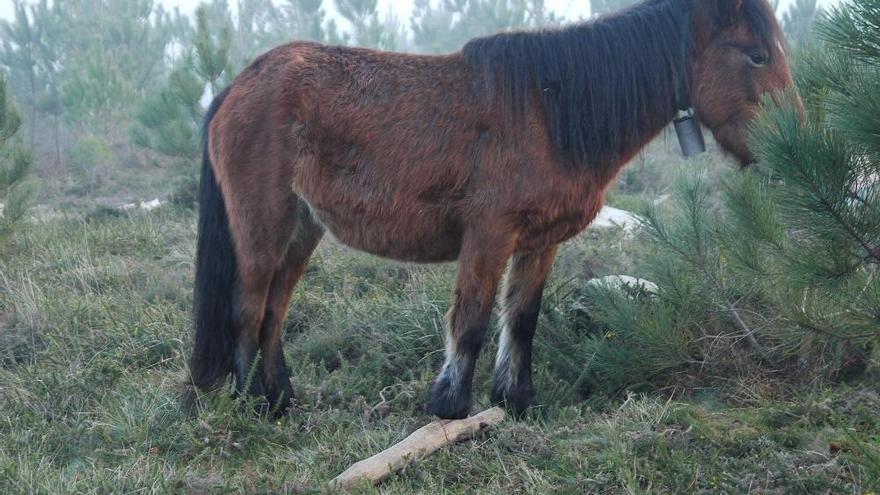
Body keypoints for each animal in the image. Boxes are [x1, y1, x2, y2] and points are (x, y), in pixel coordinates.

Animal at [191, 0, 796, 418]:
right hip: (263, 228)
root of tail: (237, 86)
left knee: (274, 311)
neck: (549, 111)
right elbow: (473, 318)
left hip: (302, 230)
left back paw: (280, 399)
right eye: (757, 55)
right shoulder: (487, 234)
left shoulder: (541, 241)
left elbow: (522, 318)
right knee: (247, 310)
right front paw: (449, 406)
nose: (791, 149)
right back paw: (251, 406)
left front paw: (518, 399)